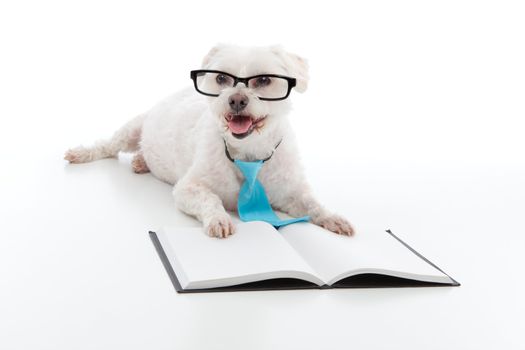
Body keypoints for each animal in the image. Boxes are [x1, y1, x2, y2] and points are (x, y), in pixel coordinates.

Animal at [64, 44, 352, 238]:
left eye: (264, 80)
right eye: (221, 78)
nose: (236, 100)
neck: (247, 153)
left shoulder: (290, 191)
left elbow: (312, 204)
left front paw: (333, 217)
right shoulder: (188, 188)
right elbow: (210, 200)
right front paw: (219, 219)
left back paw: (140, 162)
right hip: (131, 130)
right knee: (107, 146)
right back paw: (85, 153)